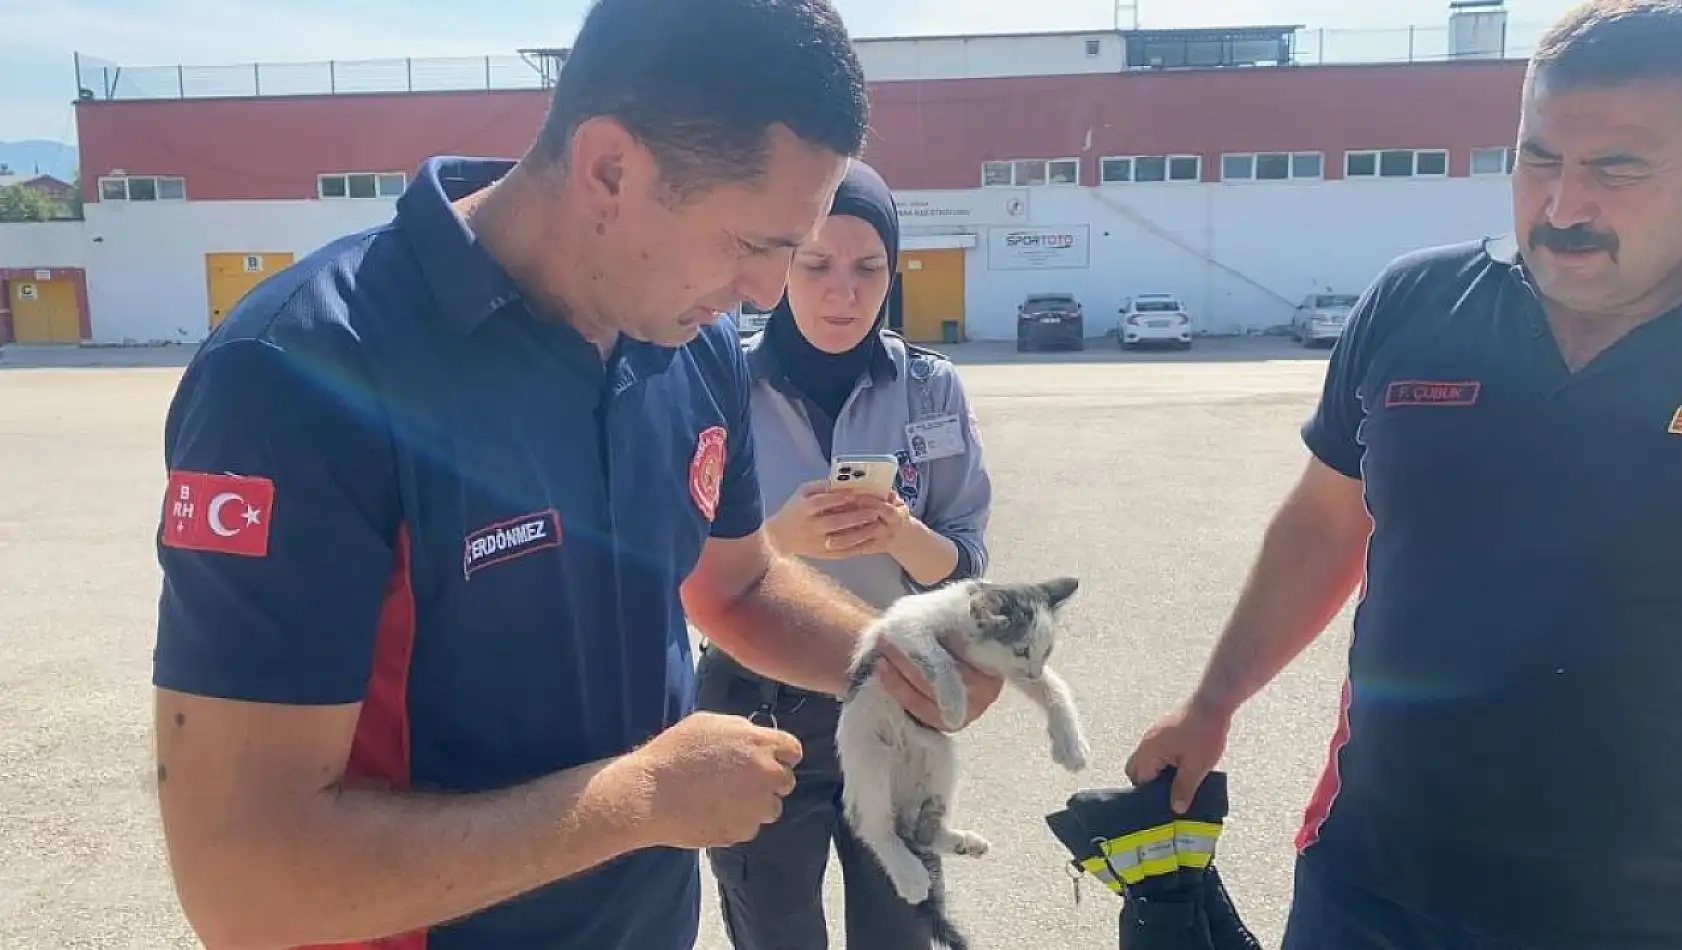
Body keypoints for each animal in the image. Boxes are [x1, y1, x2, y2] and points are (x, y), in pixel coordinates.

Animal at [830, 575, 1089, 941]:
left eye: (1047, 651)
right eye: (1021, 649)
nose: (1034, 670)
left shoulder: (1006, 669)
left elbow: (1053, 687)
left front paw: (1071, 744)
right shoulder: (902, 626)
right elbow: (938, 657)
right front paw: (954, 703)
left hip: (939, 755)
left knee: (919, 830)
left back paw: (962, 842)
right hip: (868, 756)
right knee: (874, 826)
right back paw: (908, 873)